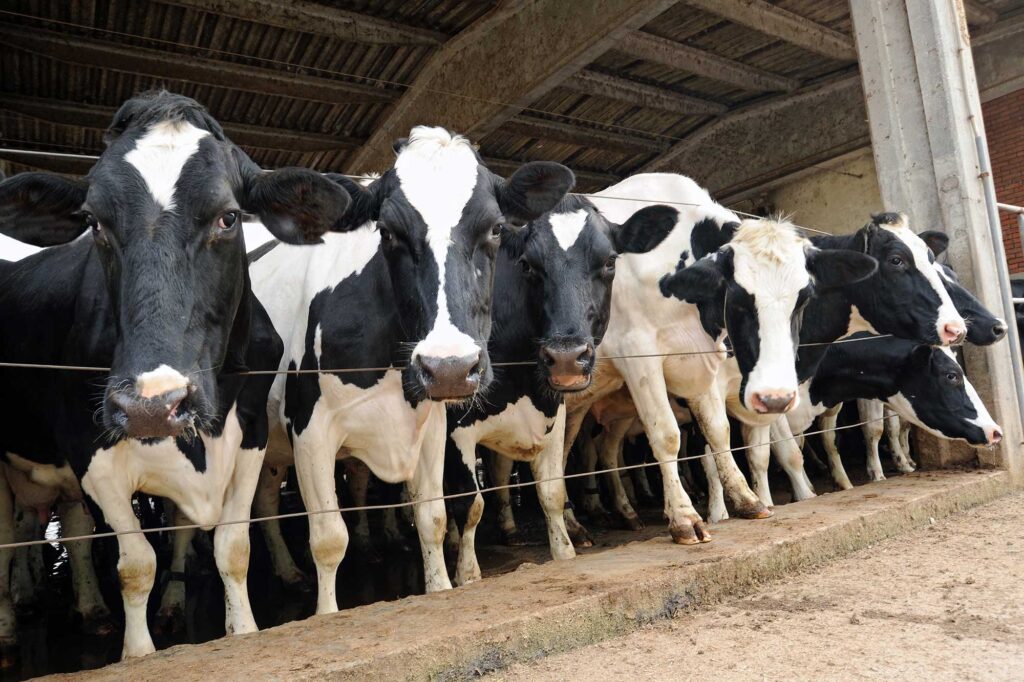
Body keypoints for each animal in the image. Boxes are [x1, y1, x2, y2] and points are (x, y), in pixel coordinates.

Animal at [0, 91, 354, 658]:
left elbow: (232, 546)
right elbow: (137, 565)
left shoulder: (250, 434)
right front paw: (138, 654)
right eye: (93, 221)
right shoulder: (88, 449)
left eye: (229, 217)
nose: (152, 404)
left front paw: (242, 630)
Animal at [247, 126, 575, 613]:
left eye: (496, 228)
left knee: (266, 502)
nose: (450, 367)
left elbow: (432, 516)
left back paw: (288, 574)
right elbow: (328, 539)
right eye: (387, 231)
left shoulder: (433, 426)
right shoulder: (309, 429)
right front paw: (325, 613)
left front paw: (440, 585)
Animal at [443, 194, 678, 585]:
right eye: (527, 265)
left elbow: (552, 490)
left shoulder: (552, 414)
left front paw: (564, 551)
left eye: (610, 261)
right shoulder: (455, 427)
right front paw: (467, 575)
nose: (567, 359)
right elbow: (469, 503)